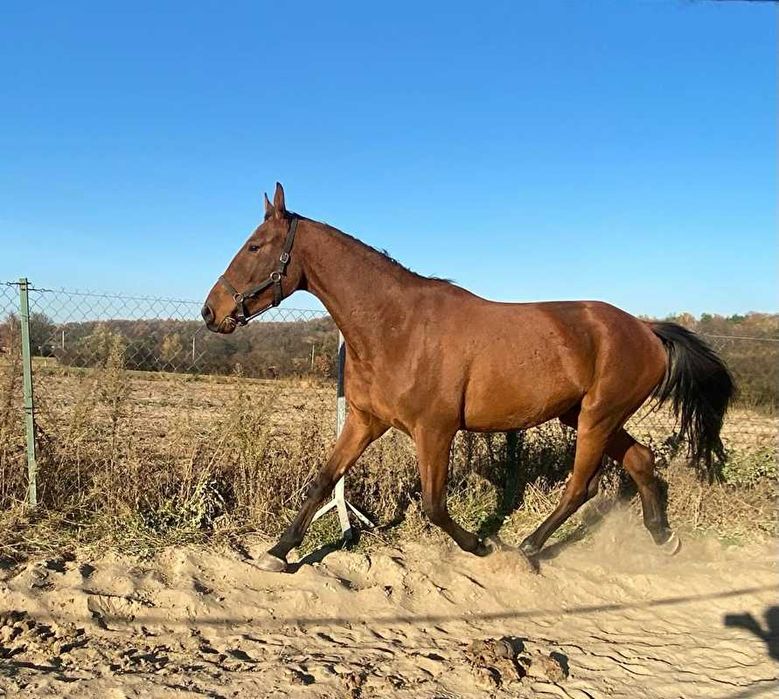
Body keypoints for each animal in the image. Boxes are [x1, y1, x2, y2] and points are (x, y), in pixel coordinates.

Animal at [203, 185, 736, 576]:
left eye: (254, 246)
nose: (212, 312)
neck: (396, 327)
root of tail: (646, 330)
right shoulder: (364, 421)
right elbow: (323, 482)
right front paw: (278, 552)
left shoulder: (435, 430)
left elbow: (434, 505)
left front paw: (480, 545)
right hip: (585, 415)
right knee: (641, 460)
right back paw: (663, 537)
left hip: (597, 418)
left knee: (581, 486)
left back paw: (528, 546)